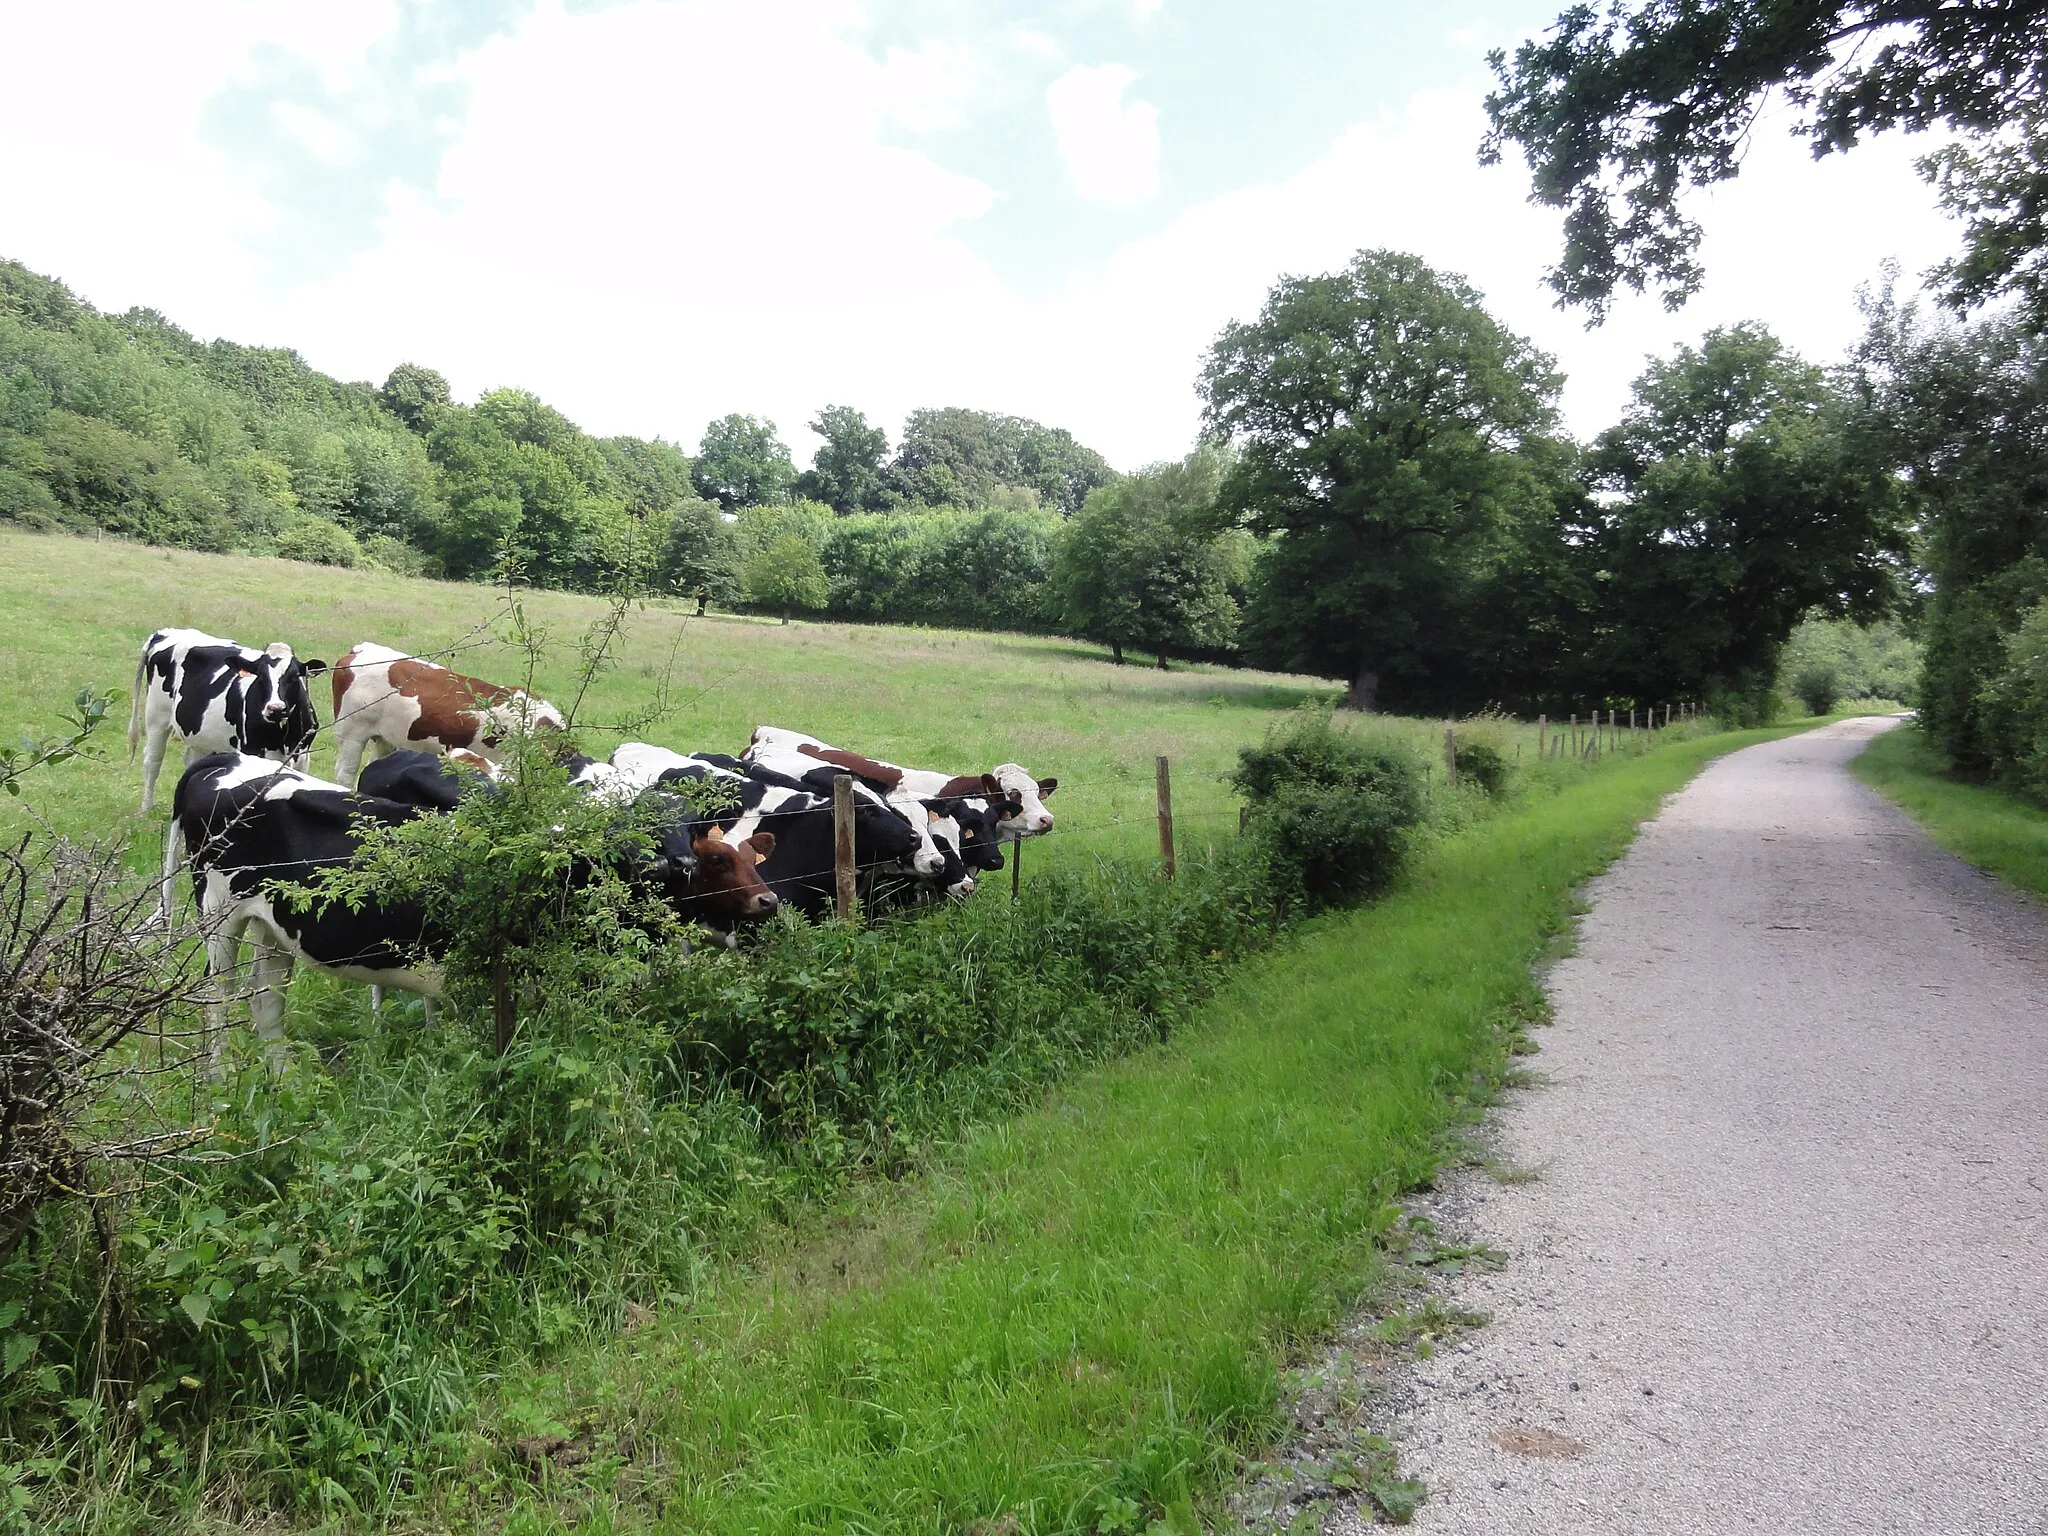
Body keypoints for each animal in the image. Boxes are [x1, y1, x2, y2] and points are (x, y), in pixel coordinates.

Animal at [130, 626, 325, 819]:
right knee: (152, 760)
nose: (275, 709)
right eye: (260, 677)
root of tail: (165, 632)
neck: (283, 736)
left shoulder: (302, 756)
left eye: (294, 677)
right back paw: (146, 808)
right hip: (156, 717)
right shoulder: (252, 752)